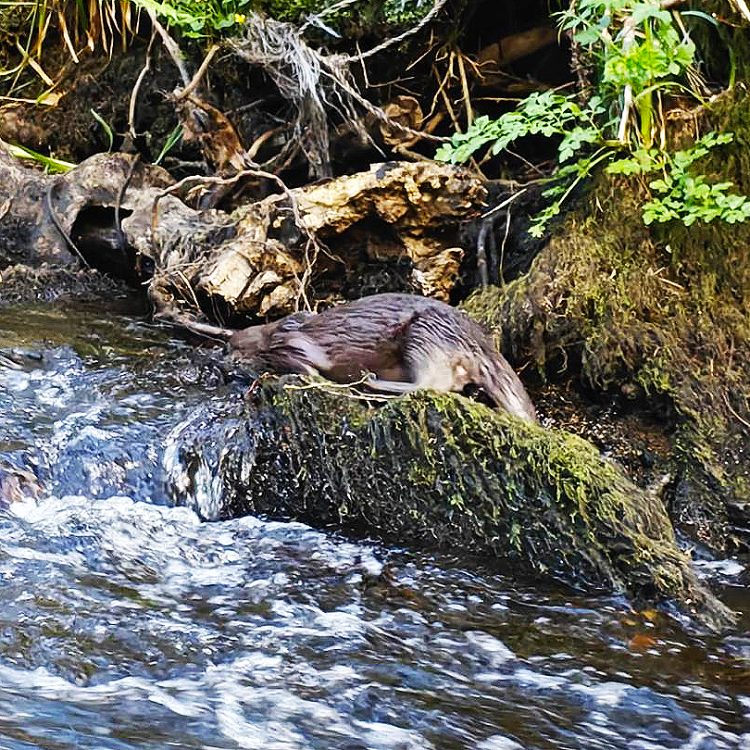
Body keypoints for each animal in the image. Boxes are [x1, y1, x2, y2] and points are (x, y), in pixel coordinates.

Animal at [185, 293, 536, 422]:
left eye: (229, 349)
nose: (217, 359)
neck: (275, 336)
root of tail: (477, 340)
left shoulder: (293, 347)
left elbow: (309, 366)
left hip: (423, 336)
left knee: (431, 385)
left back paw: (371, 383)